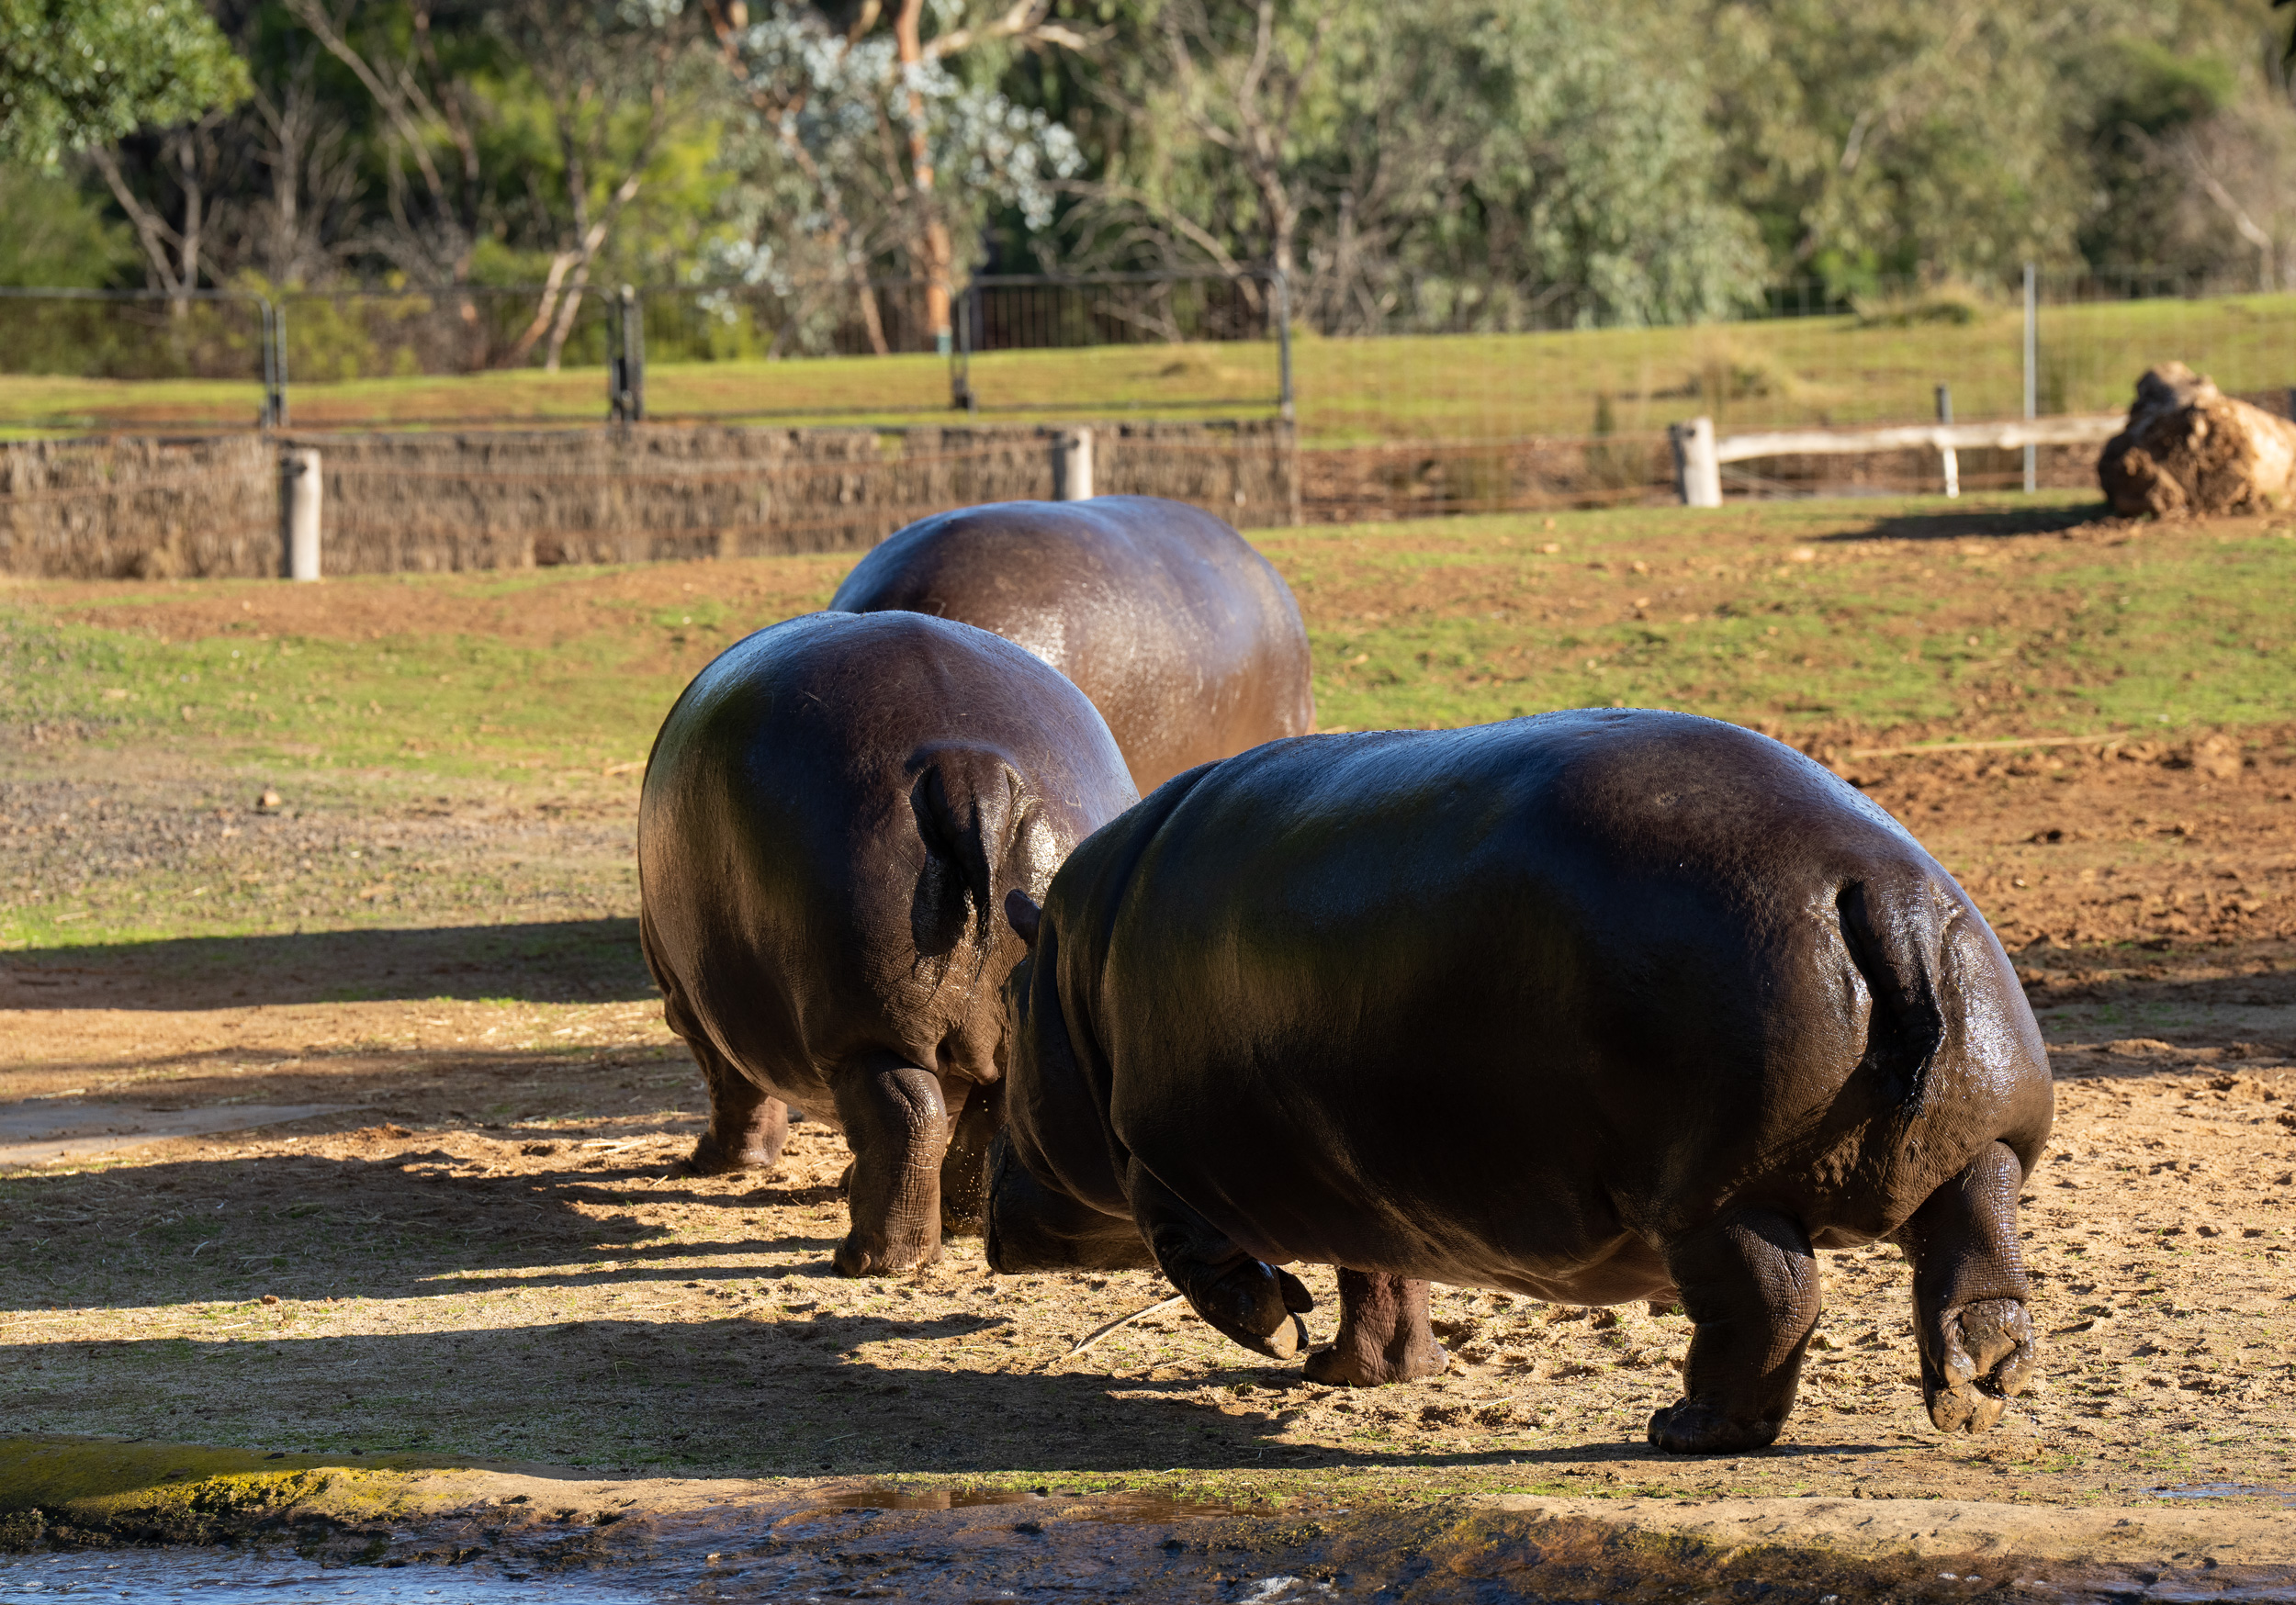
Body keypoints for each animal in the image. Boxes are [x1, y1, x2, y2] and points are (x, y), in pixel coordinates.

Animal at [638, 611, 1139, 1276]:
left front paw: (717, 1164)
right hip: (1007, 1019)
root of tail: (967, 769)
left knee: (906, 1116)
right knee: (983, 1115)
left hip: (860, 1029)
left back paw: (867, 1260)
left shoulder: (690, 1006)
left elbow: (733, 1084)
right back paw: (956, 1223)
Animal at [978, 716, 2057, 1460]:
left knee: (1774, 1303)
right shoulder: (1369, 1190)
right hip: (1977, 1141)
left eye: (1006, 1006)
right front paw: (1354, 1373)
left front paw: (1279, 1332)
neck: (1069, 978)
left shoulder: (1154, 1159)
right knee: (1975, 1261)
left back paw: (1684, 1427)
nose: (984, 1219)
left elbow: (1201, 1259)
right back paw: (1973, 1393)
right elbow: (1381, 1281)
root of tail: (1887, 895)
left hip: (1712, 1194)